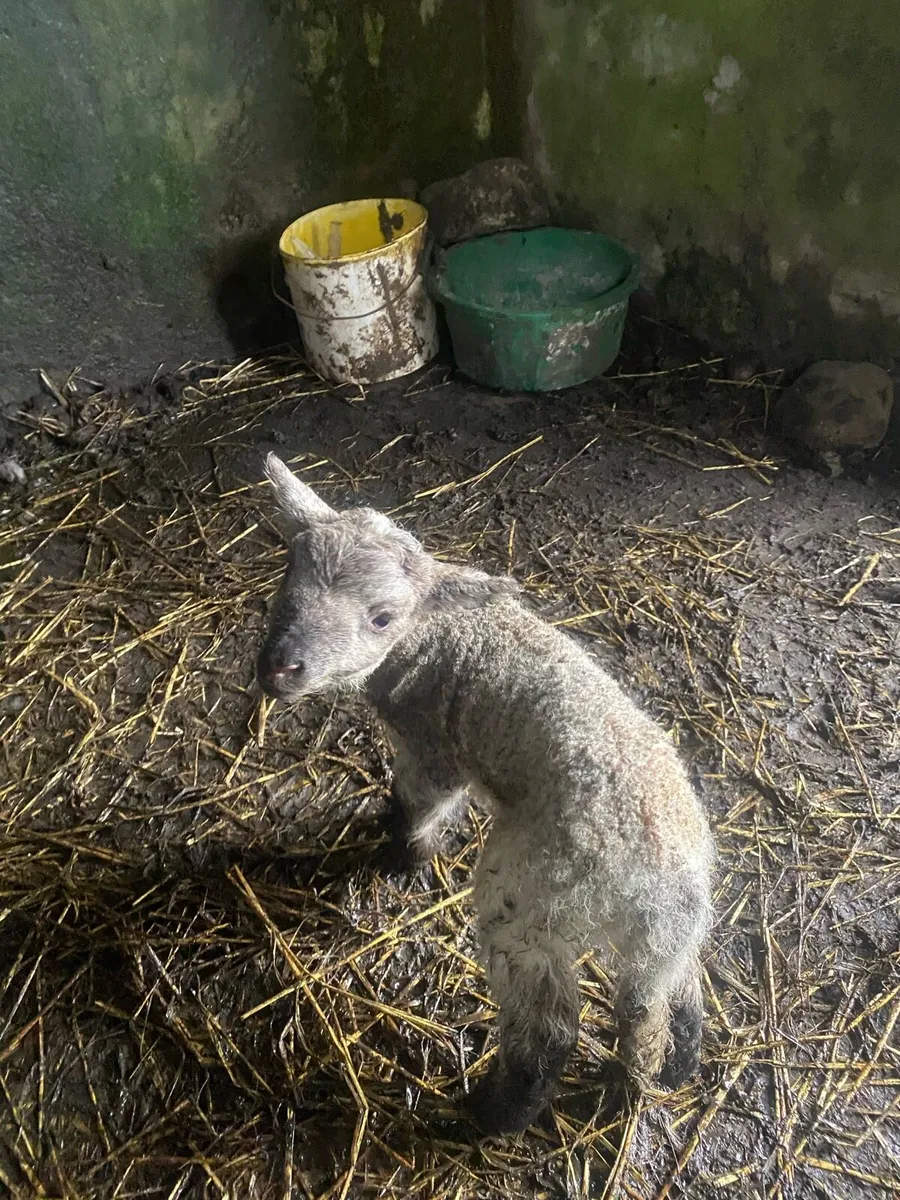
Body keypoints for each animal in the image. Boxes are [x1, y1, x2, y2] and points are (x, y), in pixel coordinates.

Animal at [256, 453, 714, 1136]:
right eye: (290, 573)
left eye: (382, 618)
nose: (280, 667)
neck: (440, 636)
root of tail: (663, 886)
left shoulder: (434, 749)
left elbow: (416, 804)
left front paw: (402, 856)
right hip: (663, 940)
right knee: (656, 1004)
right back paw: (656, 1072)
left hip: (531, 900)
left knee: (550, 1029)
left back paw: (495, 1114)